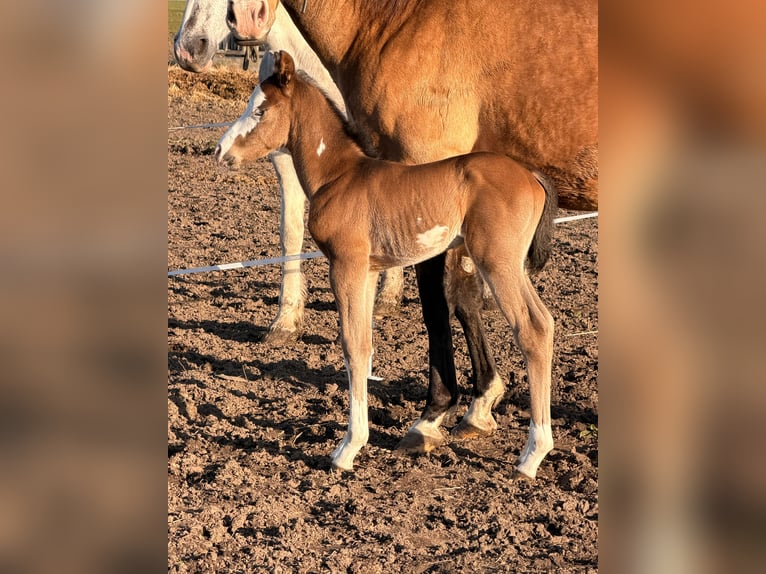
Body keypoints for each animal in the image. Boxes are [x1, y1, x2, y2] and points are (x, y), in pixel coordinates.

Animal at [225, 0, 597, 458]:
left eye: (260, 110)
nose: (222, 152)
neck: (342, 173)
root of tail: (531, 176)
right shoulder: (366, 269)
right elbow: (364, 344)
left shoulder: (345, 264)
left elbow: (356, 342)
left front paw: (349, 448)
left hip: (499, 262)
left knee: (534, 328)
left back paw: (531, 454)